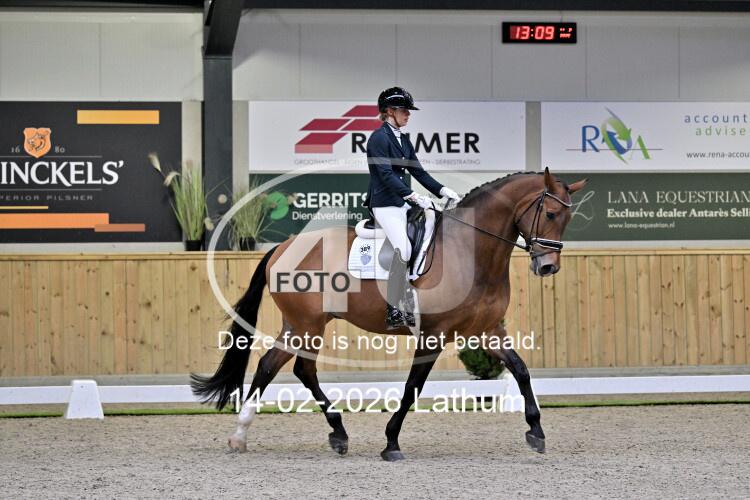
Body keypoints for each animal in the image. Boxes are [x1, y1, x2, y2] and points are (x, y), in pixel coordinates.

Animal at [191, 167, 587, 461]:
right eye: (550, 213)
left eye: (567, 219)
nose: (547, 267)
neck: (471, 250)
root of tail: (282, 247)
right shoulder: (433, 335)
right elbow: (412, 387)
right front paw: (391, 442)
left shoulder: (486, 330)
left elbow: (521, 370)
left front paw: (536, 431)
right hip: (307, 325)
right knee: (291, 368)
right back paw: (254, 434)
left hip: (301, 325)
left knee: (278, 366)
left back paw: (306, 434)